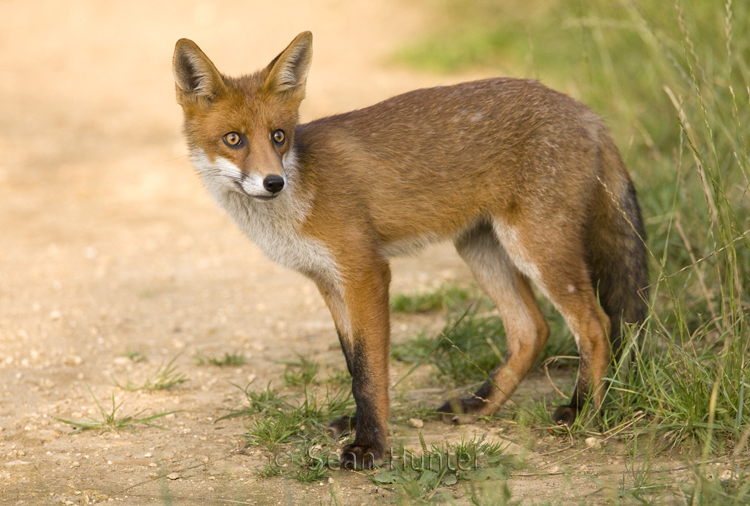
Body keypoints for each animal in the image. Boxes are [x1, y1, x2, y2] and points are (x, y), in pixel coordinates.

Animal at [175, 31, 648, 470]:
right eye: (233, 139)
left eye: (279, 136)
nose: (274, 183)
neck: (299, 196)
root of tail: (585, 110)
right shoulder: (328, 280)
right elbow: (355, 364)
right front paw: (362, 425)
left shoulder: (366, 272)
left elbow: (370, 372)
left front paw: (371, 446)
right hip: (481, 249)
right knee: (531, 330)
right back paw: (481, 406)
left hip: (536, 246)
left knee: (596, 325)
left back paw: (582, 410)